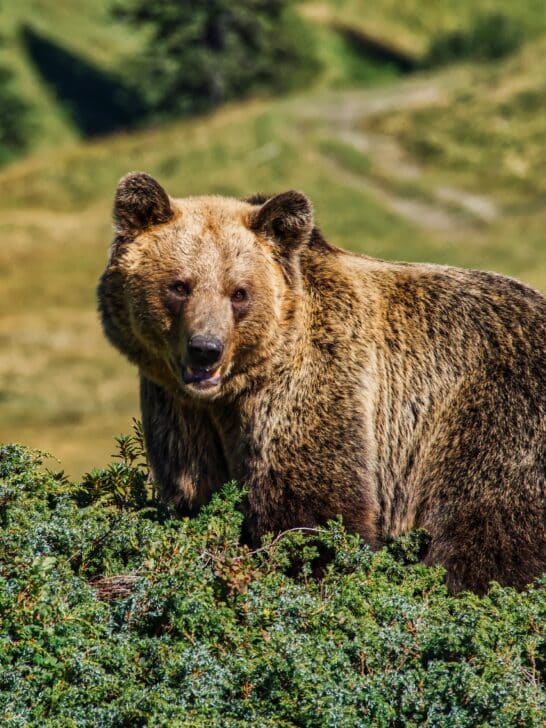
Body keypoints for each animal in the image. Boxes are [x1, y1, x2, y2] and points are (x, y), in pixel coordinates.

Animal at [98, 171, 546, 594]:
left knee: (485, 531)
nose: (205, 348)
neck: (234, 393)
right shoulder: (180, 412)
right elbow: (194, 490)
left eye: (239, 292)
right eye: (179, 285)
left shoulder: (314, 386)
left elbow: (312, 507)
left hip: (493, 416)